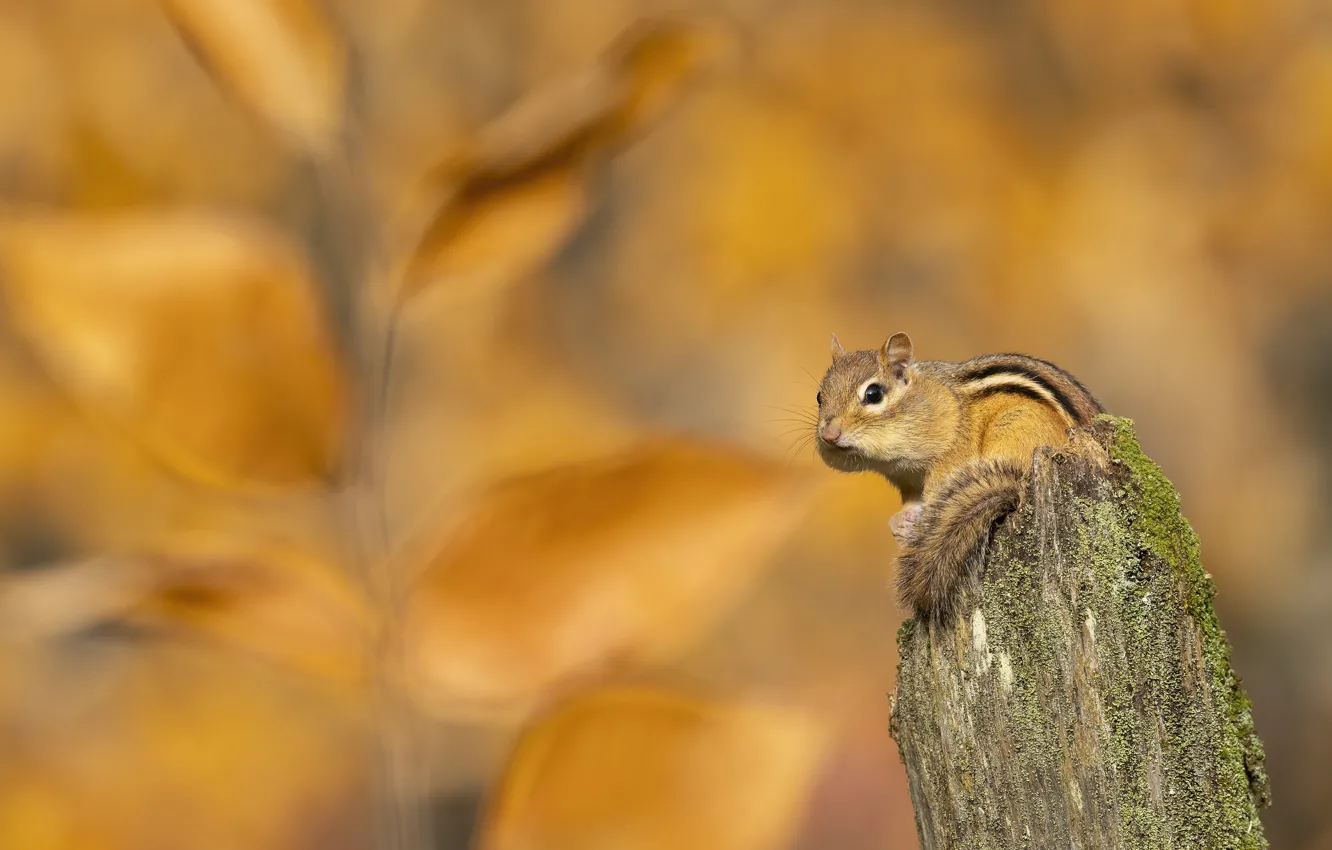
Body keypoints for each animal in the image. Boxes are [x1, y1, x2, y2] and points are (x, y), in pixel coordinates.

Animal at [814, 332, 1103, 622]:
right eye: (819, 396)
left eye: (873, 394)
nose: (828, 434)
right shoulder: (908, 481)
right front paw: (900, 524)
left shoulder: (950, 455)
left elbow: (937, 495)